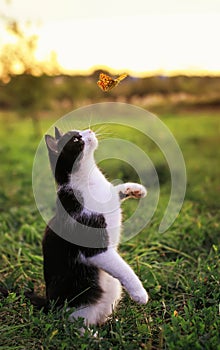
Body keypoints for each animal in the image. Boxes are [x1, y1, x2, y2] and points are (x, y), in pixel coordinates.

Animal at [42, 127, 148, 326]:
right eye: (76, 139)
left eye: (80, 130)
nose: (89, 130)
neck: (88, 180)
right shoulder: (96, 248)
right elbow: (124, 269)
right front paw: (139, 293)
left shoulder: (109, 194)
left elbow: (115, 190)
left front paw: (136, 189)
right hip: (81, 301)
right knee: (79, 325)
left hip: (113, 286)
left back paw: (112, 324)